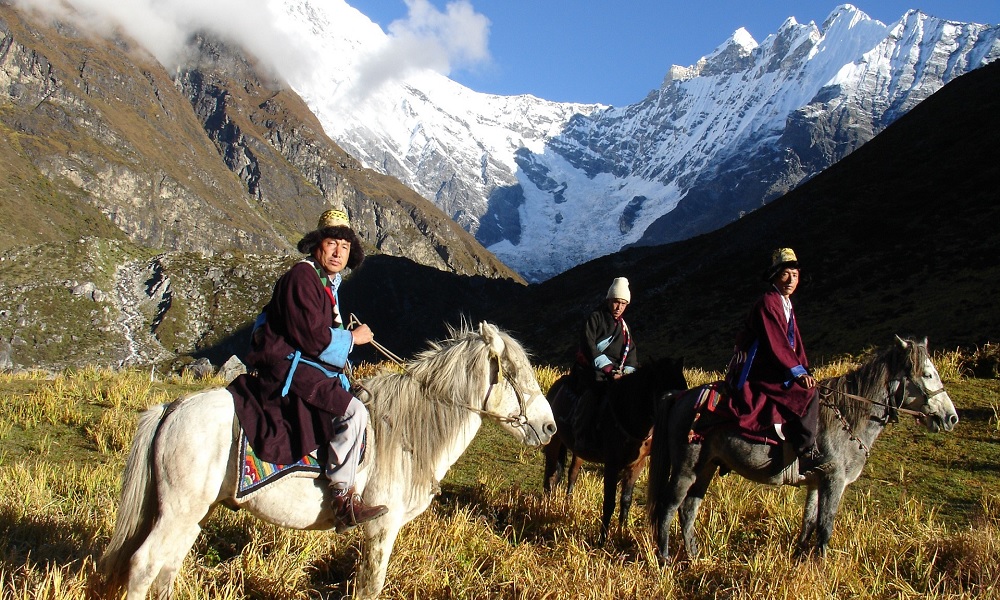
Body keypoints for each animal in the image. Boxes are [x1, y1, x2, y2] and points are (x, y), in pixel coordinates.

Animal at [99, 324, 556, 600]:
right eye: (516, 373)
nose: (549, 427)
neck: (407, 429)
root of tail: (171, 408)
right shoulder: (381, 526)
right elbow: (370, 587)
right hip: (177, 511)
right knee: (143, 565)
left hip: (194, 513)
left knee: (166, 566)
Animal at [544, 356, 684, 544]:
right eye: (666, 393)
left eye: (684, 388)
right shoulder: (611, 464)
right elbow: (609, 502)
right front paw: (602, 540)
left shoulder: (636, 465)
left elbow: (626, 500)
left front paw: (622, 531)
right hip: (554, 443)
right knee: (550, 476)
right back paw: (546, 507)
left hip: (578, 451)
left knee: (572, 473)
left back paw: (567, 503)